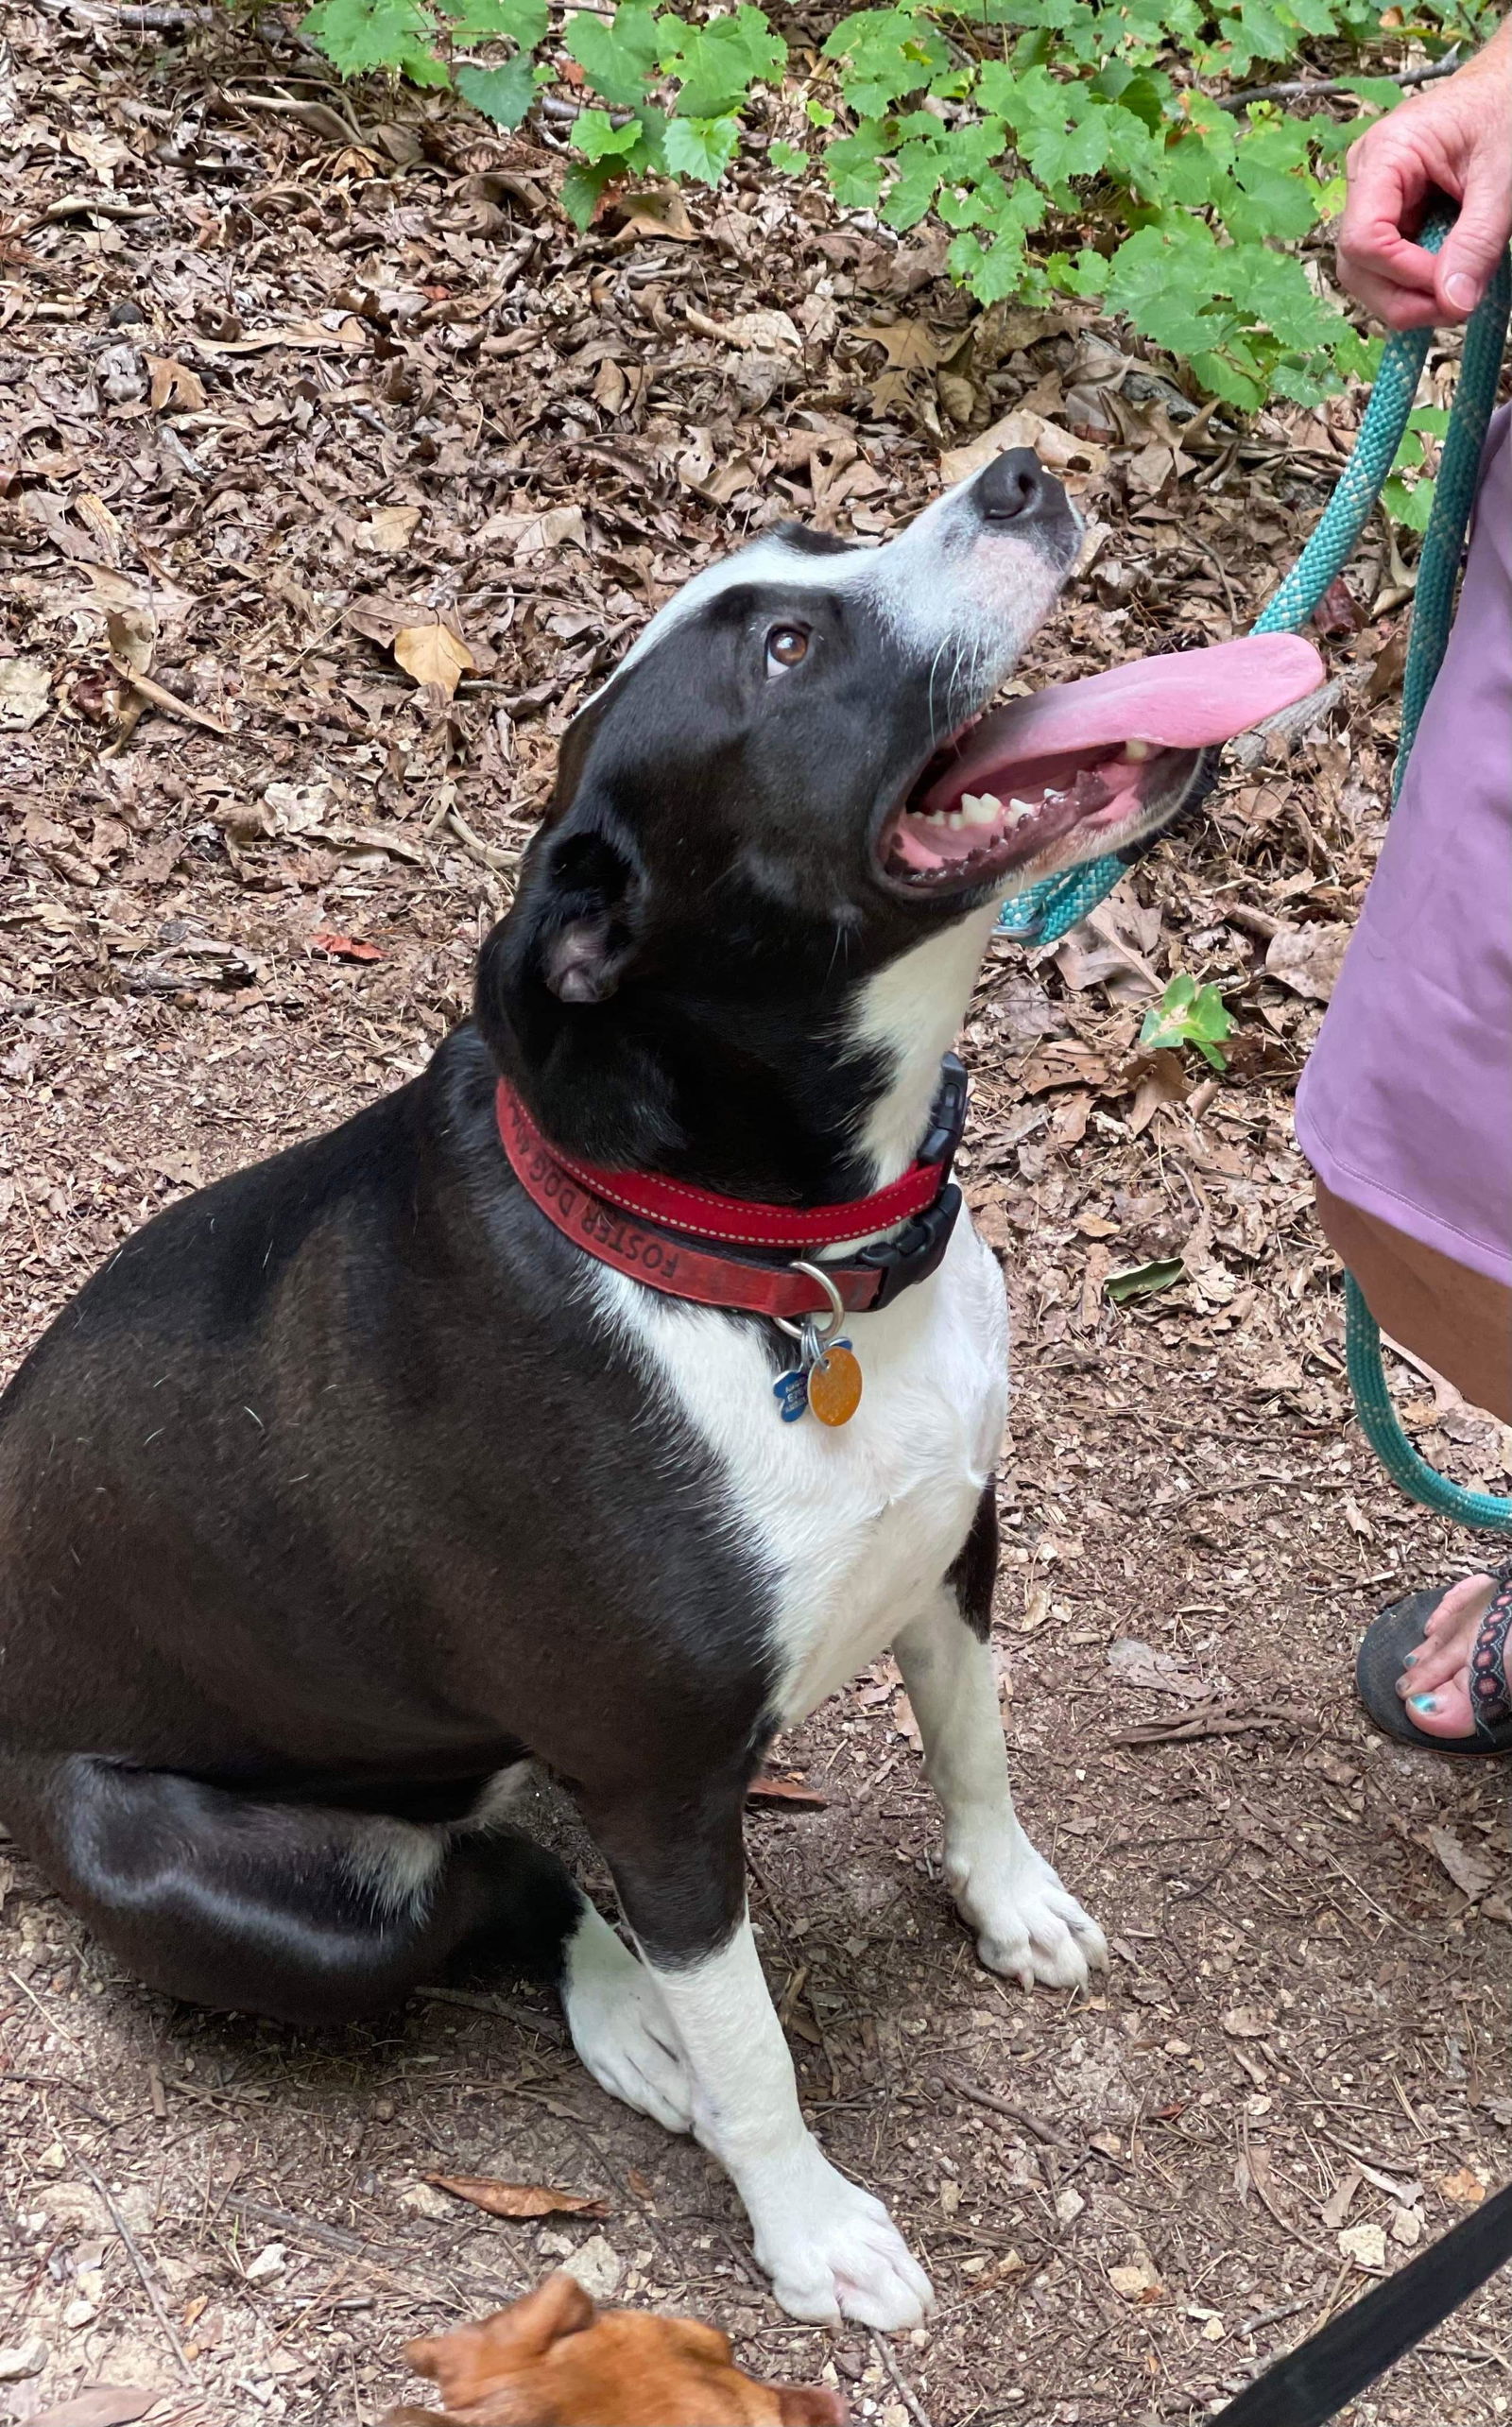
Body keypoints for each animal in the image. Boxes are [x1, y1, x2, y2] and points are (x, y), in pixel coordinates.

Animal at [0, 446, 1320, 2320]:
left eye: (807, 544)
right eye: (786, 649)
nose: (1019, 468)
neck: (775, 1258)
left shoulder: (957, 1547)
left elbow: (977, 1748)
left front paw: (1010, 1900)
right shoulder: (667, 1791)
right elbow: (754, 2041)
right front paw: (811, 2227)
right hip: (237, 1891)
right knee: (499, 1892)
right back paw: (638, 2023)